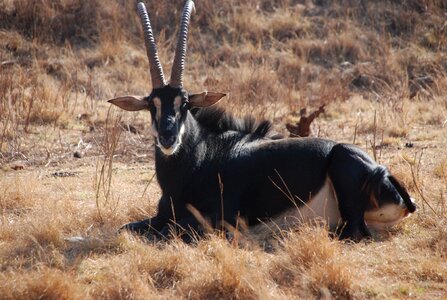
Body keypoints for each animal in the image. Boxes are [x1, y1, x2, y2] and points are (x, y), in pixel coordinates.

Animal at [108, 0, 416, 241]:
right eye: (152, 105)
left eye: (184, 103)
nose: (168, 138)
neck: (200, 157)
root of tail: (383, 172)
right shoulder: (160, 215)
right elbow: (126, 228)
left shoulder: (217, 220)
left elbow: (168, 231)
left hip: (344, 172)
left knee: (352, 233)